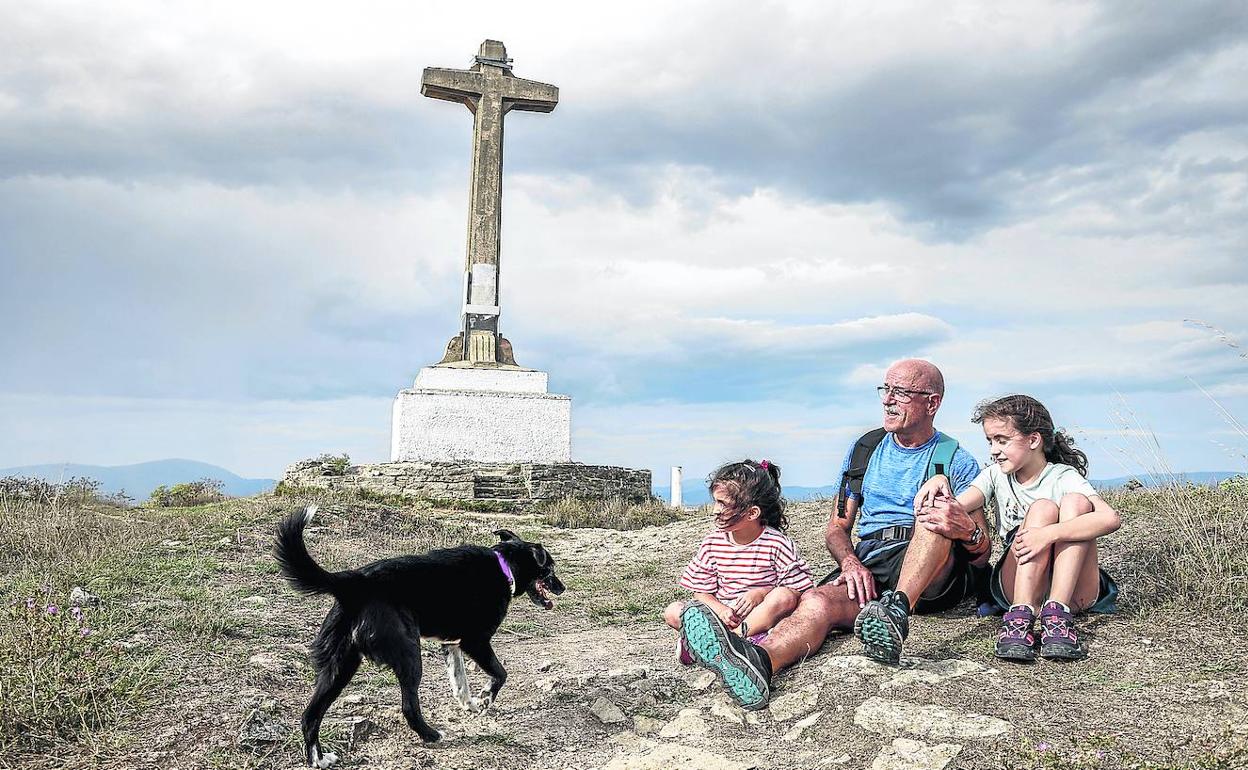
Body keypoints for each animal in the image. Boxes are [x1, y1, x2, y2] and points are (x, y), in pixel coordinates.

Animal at [277, 506, 566, 763]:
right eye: (550, 568)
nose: (562, 587)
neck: (503, 566)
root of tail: (355, 582)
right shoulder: (476, 642)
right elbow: (501, 673)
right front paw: (485, 698)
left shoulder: (452, 644)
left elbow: (460, 682)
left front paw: (470, 704)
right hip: (409, 655)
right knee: (408, 706)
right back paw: (431, 735)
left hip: (340, 666)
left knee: (310, 715)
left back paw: (318, 759)